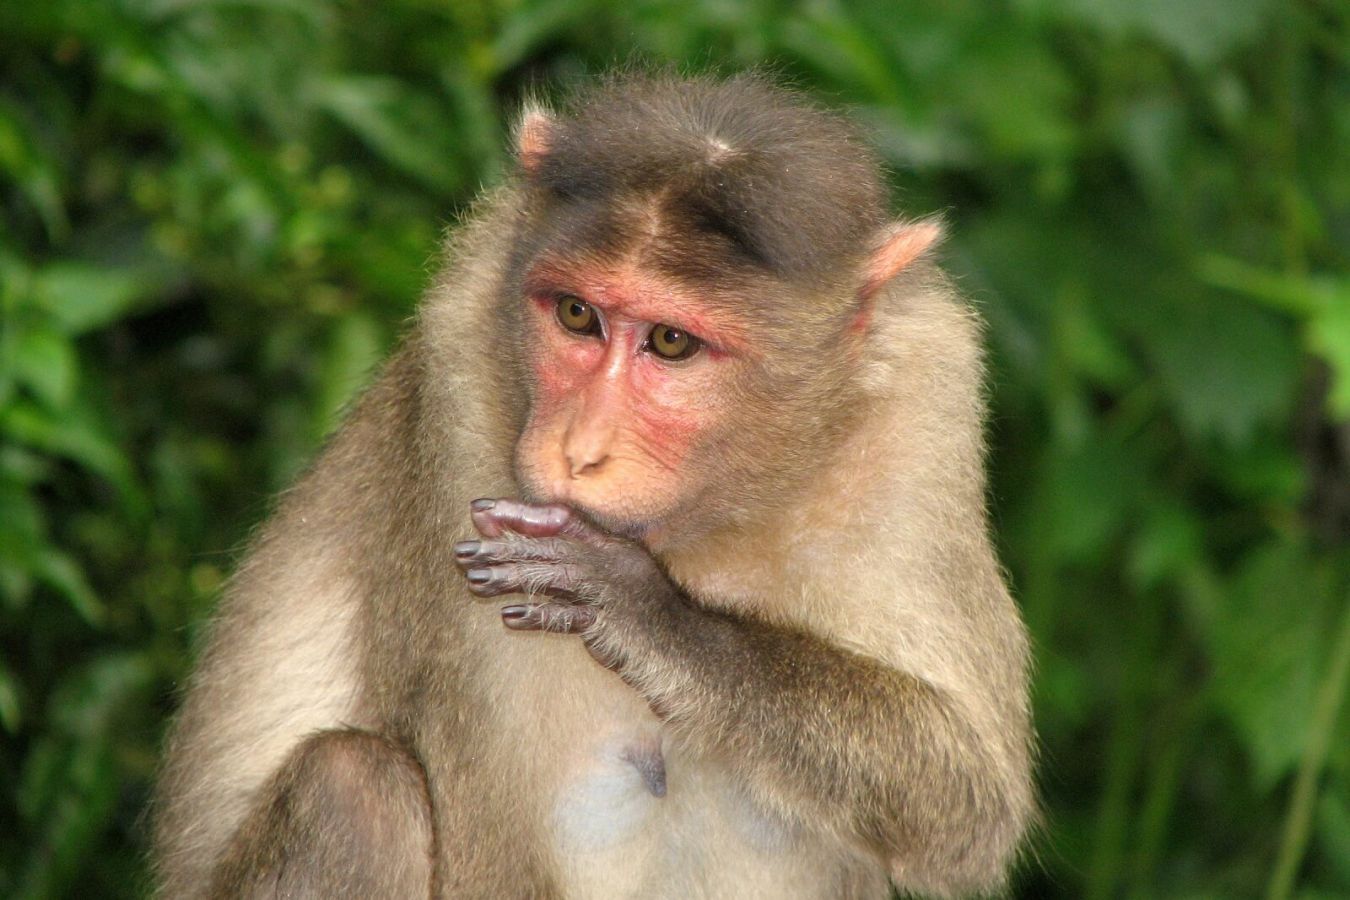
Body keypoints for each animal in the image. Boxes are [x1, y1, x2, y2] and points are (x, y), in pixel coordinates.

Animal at [150, 72, 1031, 900]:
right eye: (577, 315)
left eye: (671, 342)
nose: (580, 449)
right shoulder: (457, 384)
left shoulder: (924, 406)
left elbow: (966, 795)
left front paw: (649, 617)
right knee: (352, 786)